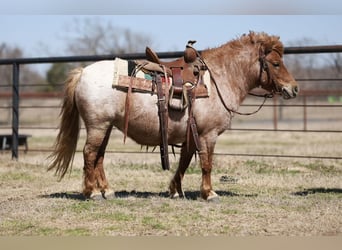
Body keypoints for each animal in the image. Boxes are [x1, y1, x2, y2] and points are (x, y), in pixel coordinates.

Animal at [46, 31, 298, 200]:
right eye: (276, 63)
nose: (293, 88)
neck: (220, 77)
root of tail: (83, 72)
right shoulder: (208, 135)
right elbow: (207, 163)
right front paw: (209, 193)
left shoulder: (191, 134)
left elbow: (185, 162)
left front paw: (174, 190)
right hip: (98, 125)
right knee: (89, 154)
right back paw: (92, 193)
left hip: (106, 126)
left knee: (98, 156)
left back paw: (107, 190)